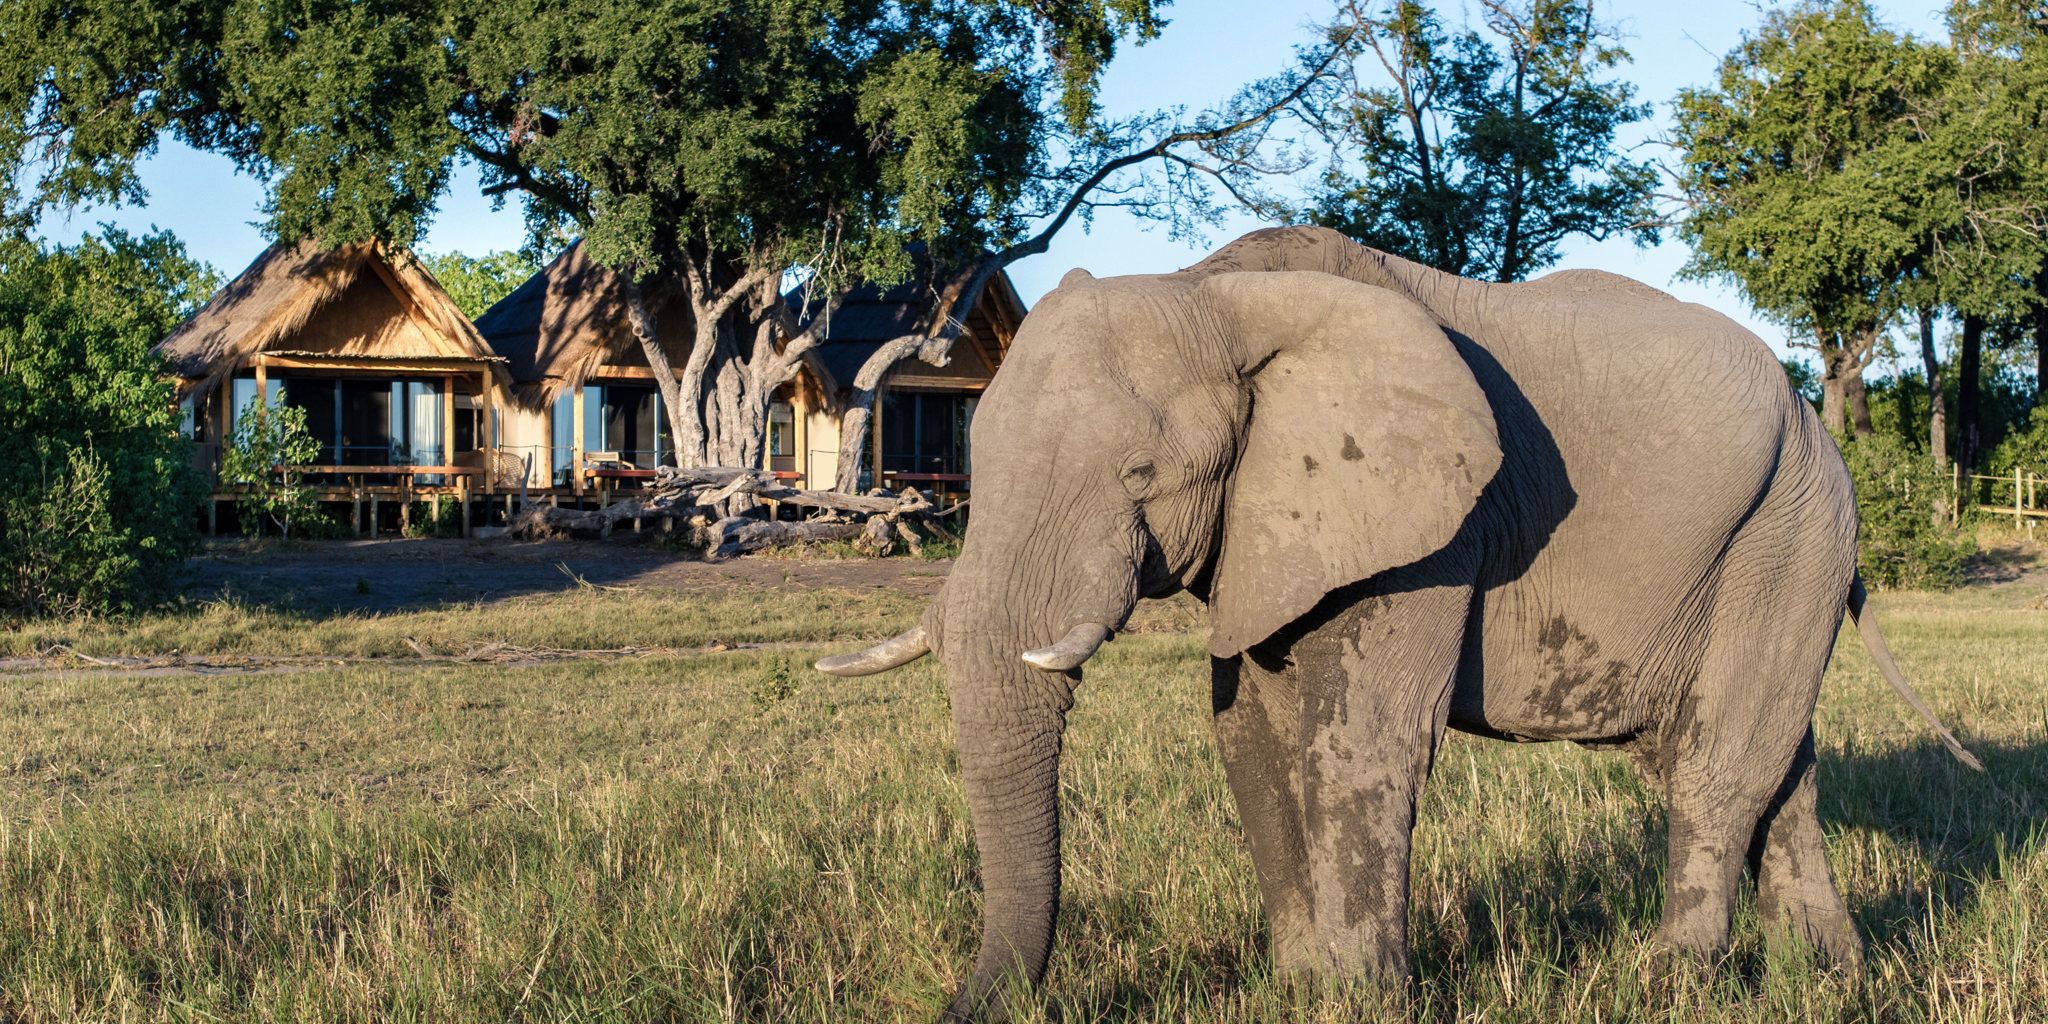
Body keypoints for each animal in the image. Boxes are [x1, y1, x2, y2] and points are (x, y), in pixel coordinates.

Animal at [818, 226, 1979, 1021]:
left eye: (1142, 474)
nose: (956, 1009)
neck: (1216, 290)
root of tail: (1814, 422)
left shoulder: (1430, 523)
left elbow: (1359, 744)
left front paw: (1359, 1001)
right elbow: (1248, 737)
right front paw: (1299, 991)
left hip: (1790, 533)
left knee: (1717, 763)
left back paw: (1668, 984)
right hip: (1773, 547)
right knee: (1767, 759)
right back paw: (1827, 979)